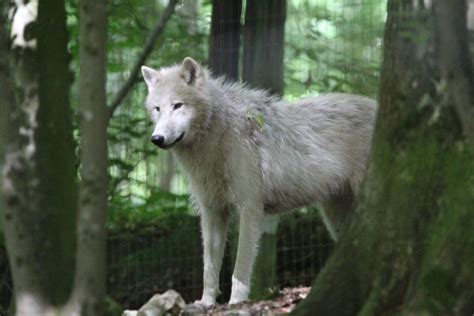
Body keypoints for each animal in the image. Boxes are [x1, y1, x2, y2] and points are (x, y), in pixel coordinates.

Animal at [142, 57, 378, 306]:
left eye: (178, 105)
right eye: (157, 108)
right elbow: (209, 268)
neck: (217, 142)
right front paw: (206, 303)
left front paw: (236, 303)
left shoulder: (250, 207)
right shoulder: (211, 210)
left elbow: (240, 269)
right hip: (336, 218)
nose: (156, 138)